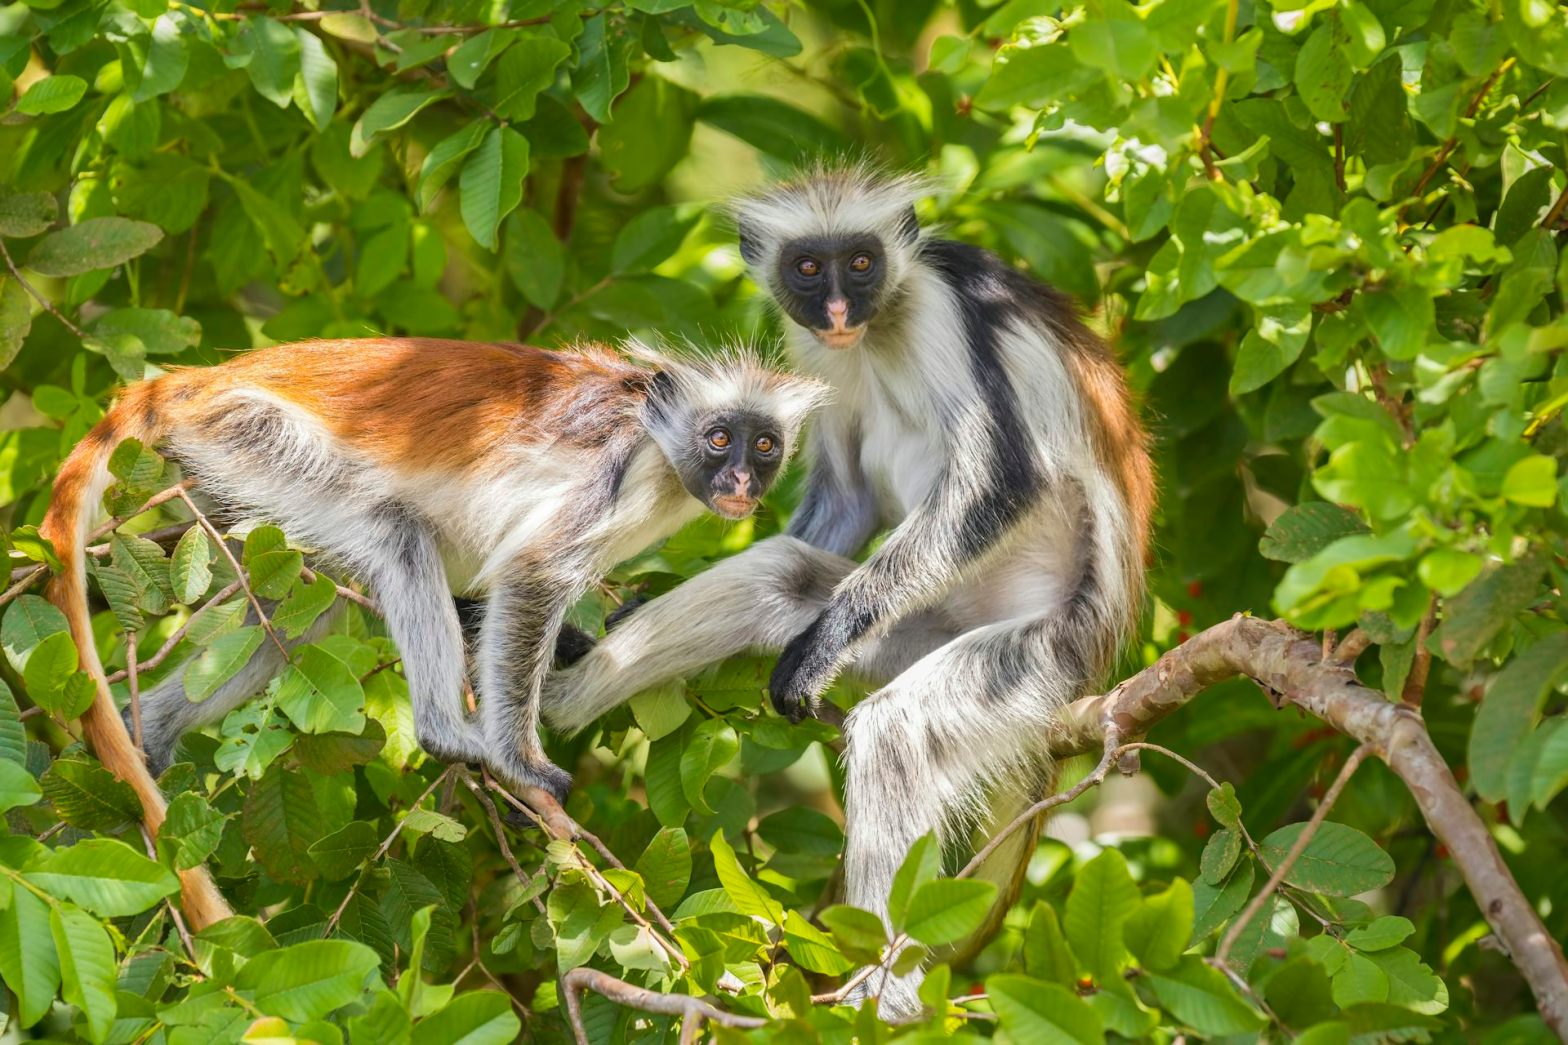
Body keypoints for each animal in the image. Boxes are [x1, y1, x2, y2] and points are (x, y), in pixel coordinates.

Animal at [41, 336, 826, 929]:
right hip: (249, 433)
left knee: (301, 615)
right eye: (719, 438)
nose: (740, 481)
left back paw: (151, 733)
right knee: (398, 534)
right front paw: (520, 763)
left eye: (763, 445)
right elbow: (531, 573)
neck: (659, 441)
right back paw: (447, 732)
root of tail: (200, 379)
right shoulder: (615, 471)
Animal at [541, 168, 1154, 1016]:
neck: (880, 324)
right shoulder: (813, 350)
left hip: (1042, 649)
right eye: (808, 267)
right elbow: (846, 495)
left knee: (896, 730)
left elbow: (1002, 480)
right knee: (780, 574)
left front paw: (824, 642)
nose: (837, 310)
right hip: (918, 626)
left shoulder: (942, 307)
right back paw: (556, 696)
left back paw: (885, 997)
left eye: (861, 263)